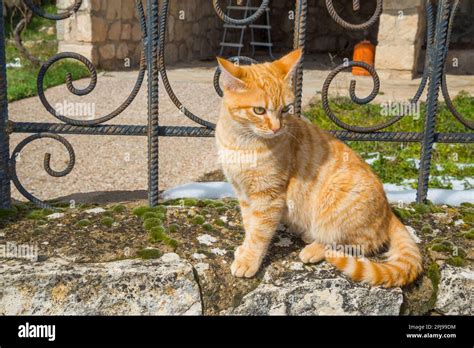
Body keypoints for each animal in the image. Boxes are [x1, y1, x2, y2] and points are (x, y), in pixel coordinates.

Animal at [216, 49, 422, 288]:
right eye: (259, 110)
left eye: (285, 109)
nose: (277, 128)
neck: (241, 143)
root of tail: (388, 210)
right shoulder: (243, 193)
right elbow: (249, 224)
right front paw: (244, 249)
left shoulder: (269, 197)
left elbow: (259, 232)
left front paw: (249, 260)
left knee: (363, 243)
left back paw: (317, 248)